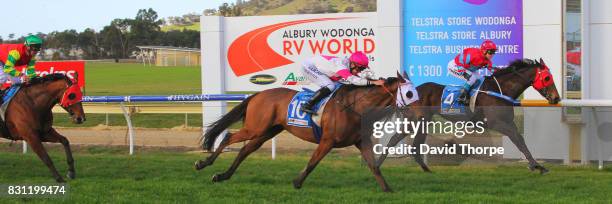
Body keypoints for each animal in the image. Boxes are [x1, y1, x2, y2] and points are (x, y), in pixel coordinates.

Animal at [196, 72, 416, 192]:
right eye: (409, 93)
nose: (418, 113)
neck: (355, 106)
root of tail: (258, 95)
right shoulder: (328, 140)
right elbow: (312, 163)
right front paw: (297, 181)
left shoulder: (362, 141)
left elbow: (374, 166)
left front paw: (388, 189)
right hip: (255, 127)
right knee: (229, 137)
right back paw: (204, 164)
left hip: (267, 132)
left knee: (245, 150)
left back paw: (223, 175)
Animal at [380, 58, 560, 174]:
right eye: (547, 77)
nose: (556, 98)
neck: (500, 89)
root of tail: (409, 92)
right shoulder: (496, 123)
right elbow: (517, 139)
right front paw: (536, 166)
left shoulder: (508, 122)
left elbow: (520, 140)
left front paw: (537, 165)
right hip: (416, 120)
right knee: (400, 140)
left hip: (420, 121)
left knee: (407, 142)